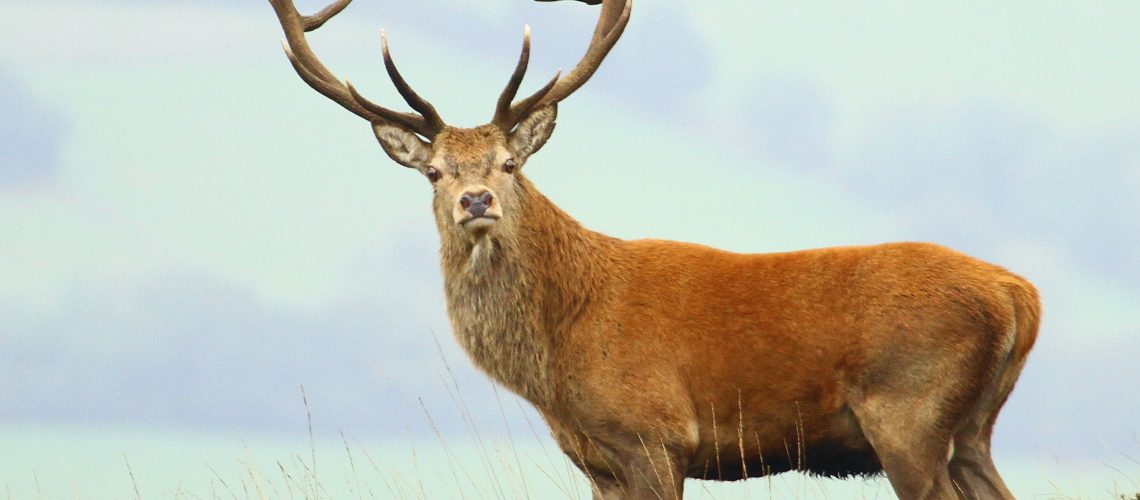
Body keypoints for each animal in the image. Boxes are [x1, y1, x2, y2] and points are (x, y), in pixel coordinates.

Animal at [268, 0, 1040, 498]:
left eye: (509, 164)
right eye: (434, 172)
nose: (477, 201)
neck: (560, 356)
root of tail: (1019, 295)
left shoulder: (655, 436)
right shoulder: (597, 463)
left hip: (908, 412)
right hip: (972, 428)